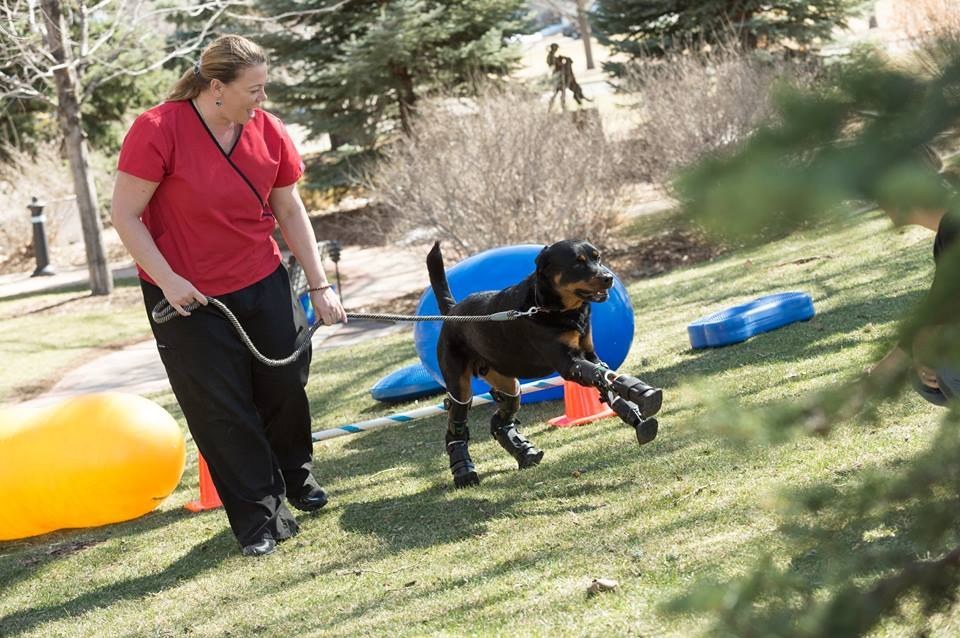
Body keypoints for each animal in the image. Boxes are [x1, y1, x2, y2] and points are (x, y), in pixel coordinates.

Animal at [428, 241, 660, 490]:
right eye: (578, 262)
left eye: (597, 258)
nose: (608, 277)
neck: (550, 307)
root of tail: (452, 312)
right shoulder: (568, 363)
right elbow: (600, 375)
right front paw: (641, 393)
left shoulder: (590, 353)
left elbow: (605, 377)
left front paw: (635, 410)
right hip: (458, 381)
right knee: (458, 420)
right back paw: (464, 472)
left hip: (504, 377)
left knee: (505, 411)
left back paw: (525, 453)